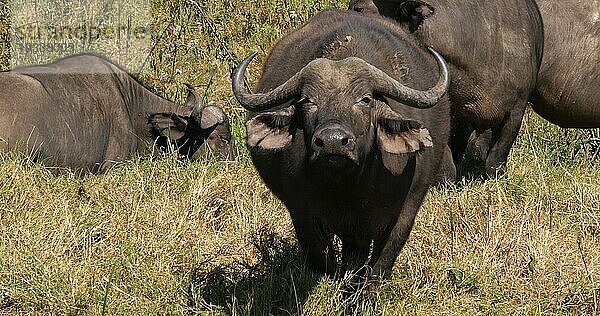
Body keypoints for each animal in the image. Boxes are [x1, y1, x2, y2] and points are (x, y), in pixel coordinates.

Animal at [232, 8, 452, 278]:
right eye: (307, 100)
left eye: (365, 99)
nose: (332, 143)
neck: (350, 188)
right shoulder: (303, 214)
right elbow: (324, 262)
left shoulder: (404, 213)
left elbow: (379, 266)